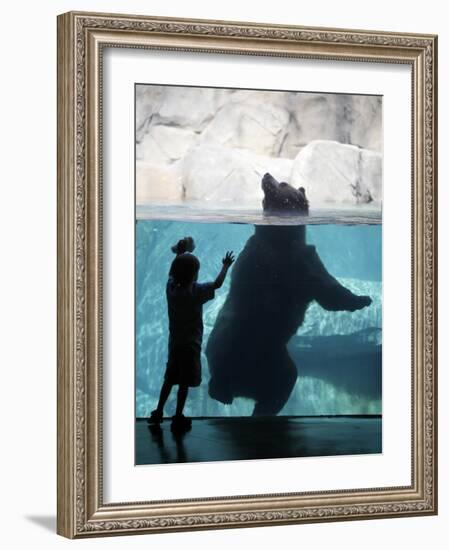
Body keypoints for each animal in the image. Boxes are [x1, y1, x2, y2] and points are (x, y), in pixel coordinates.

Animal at [204, 172, 372, 418]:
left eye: (282, 182)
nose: (267, 175)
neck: (282, 240)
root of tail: (243, 386)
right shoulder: (264, 258)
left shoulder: (307, 261)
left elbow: (327, 290)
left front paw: (363, 299)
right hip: (231, 336)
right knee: (220, 357)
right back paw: (221, 390)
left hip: (277, 360)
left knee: (284, 381)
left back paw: (261, 408)